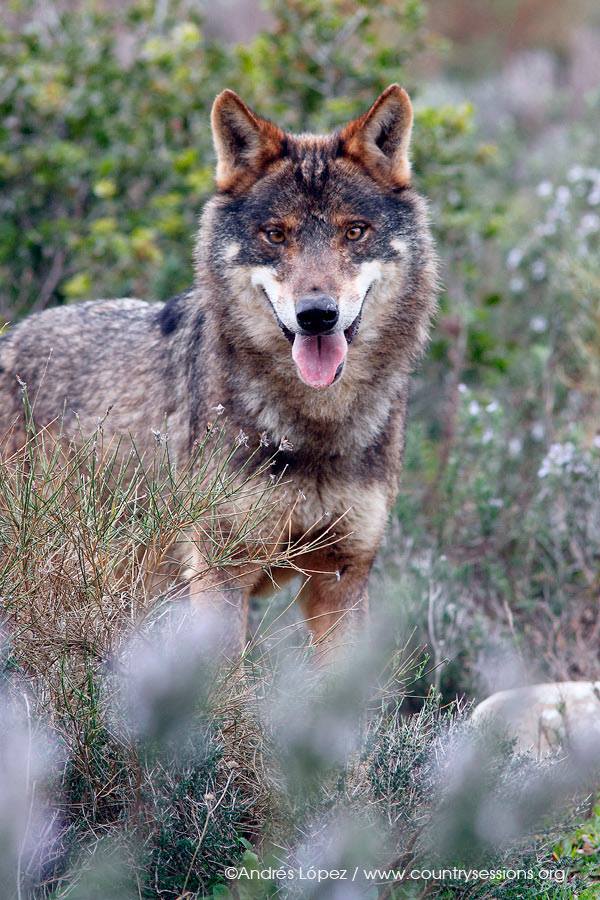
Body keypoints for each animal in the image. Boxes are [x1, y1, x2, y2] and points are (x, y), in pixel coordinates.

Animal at [0, 85, 437, 653]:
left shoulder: (342, 575)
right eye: (275, 235)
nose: (317, 314)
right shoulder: (220, 573)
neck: (314, 429)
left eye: (354, 232)